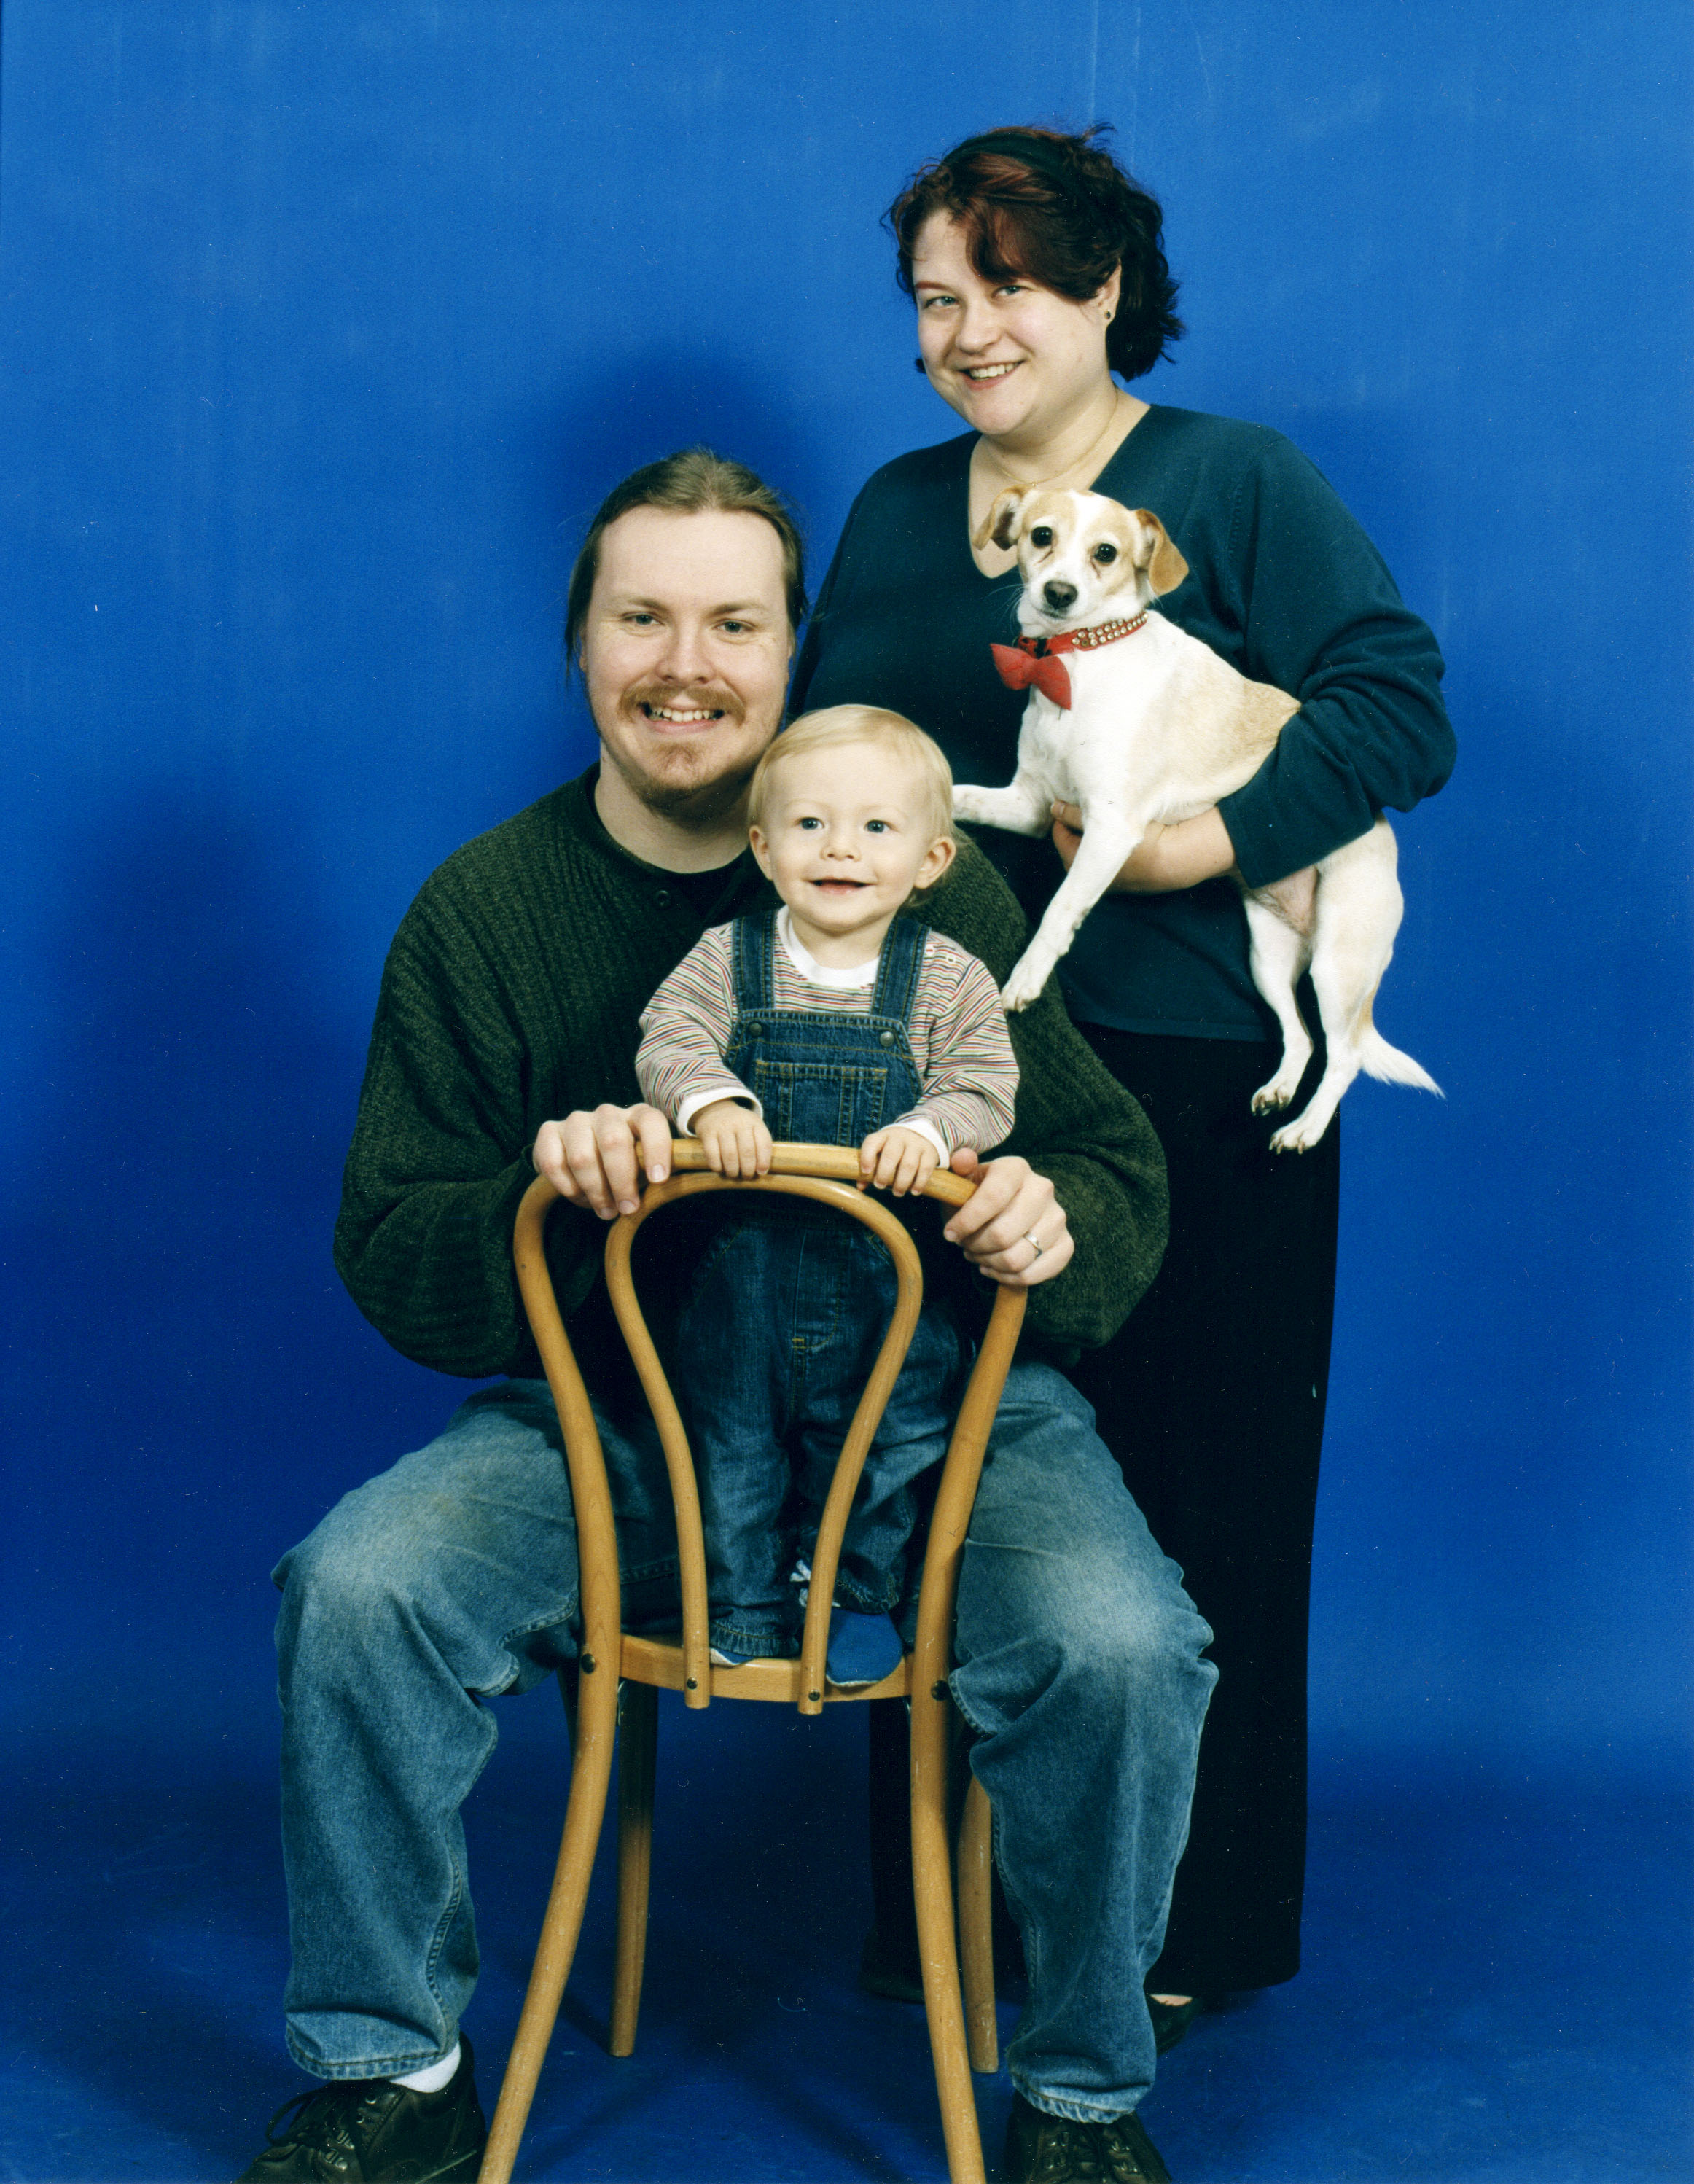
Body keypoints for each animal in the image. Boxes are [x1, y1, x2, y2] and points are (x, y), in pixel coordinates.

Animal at [952, 485, 1439, 1151]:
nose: (1059, 593)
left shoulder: (1110, 831)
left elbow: (1059, 910)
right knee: (1301, 1036)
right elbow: (958, 793)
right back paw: (1280, 1090)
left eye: (1106, 553)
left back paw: (1305, 1127)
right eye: (1041, 536)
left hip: (1339, 965)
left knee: (1345, 1056)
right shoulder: (1028, 805)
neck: (1075, 663)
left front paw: (1027, 977)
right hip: (1269, 958)